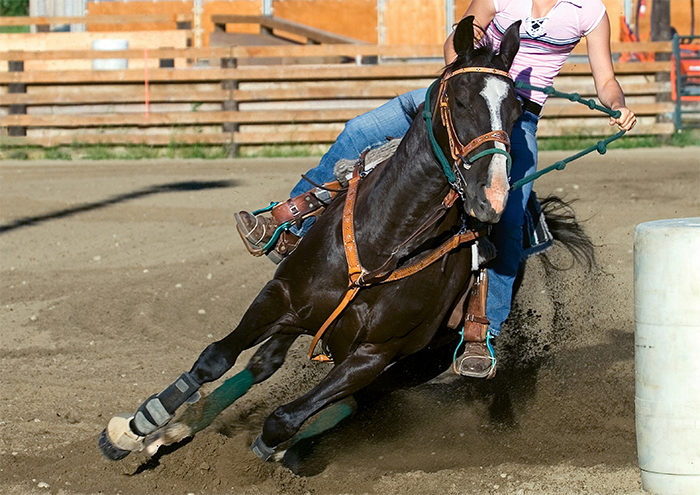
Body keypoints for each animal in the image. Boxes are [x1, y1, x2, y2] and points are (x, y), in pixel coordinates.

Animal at [98, 16, 560, 464]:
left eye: (516, 111)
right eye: (461, 101)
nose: (492, 197)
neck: (383, 241)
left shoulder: (375, 355)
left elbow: (284, 419)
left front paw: (276, 448)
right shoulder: (281, 295)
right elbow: (216, 358)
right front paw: (139, 427)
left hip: (415, 361)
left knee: (350, 404)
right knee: (267, 362)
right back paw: (167, 433)